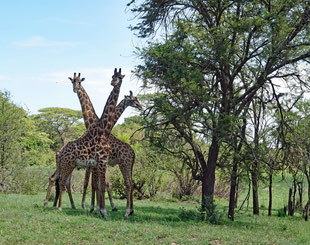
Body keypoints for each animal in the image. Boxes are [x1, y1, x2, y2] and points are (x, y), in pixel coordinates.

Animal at [51, 67, 123, 218]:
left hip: (68, 165)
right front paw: (99, 210)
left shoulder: (98, 162)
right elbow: (97, 185)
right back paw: (58, 207)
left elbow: (99, 185)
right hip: (67, 165)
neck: (102, 130)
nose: (113, 82)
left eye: (119, 77)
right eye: (72, 81)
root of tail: (59, 152)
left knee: (59, 181)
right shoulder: (98, 162)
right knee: (60, 181)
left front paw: (98, 209)